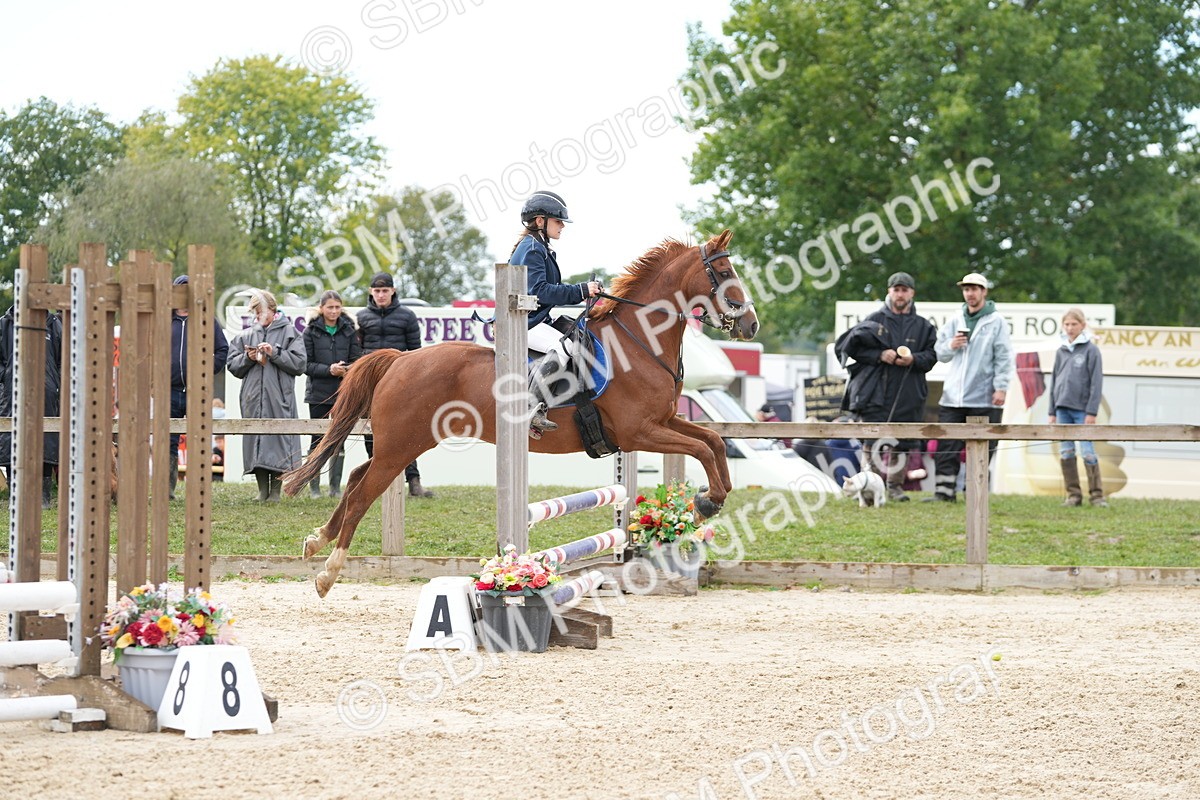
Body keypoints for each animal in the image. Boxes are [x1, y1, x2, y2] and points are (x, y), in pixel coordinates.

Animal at [283, 229, 758, 597]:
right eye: (725, 274)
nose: (751, 324)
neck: (637, 343)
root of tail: (400, 359)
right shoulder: (638, 432)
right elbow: (702, 449)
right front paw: (706, 503)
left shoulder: (661, 422)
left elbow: (712, 442)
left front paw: (709, 500)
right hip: (401, 444)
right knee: (363, 492)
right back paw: (328, 573)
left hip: (404, 443)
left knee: (354, 479)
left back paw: (316, 540)